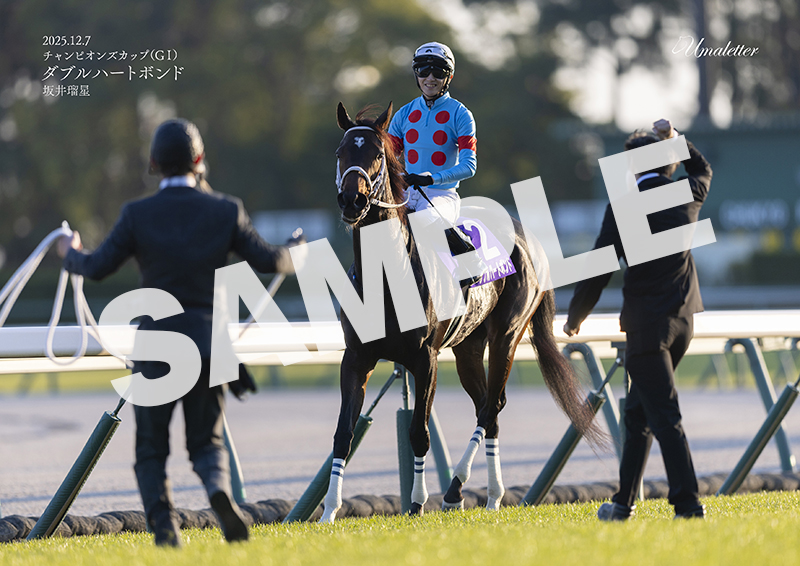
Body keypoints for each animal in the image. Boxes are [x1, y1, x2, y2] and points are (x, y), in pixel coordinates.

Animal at [320, 101, 602, 523]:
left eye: (376, 154)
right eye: (340, 153)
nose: (352, 201)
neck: (387, 272)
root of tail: (528, 237)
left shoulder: (426, 358)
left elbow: (418, 432)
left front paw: (417, 503)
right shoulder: (355, 357)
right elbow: (343, 434)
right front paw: (328, 511)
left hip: (505, 337)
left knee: (491, 407)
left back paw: (459, 490)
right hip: (468, 347)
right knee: (488, 407)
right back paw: (490, 495)